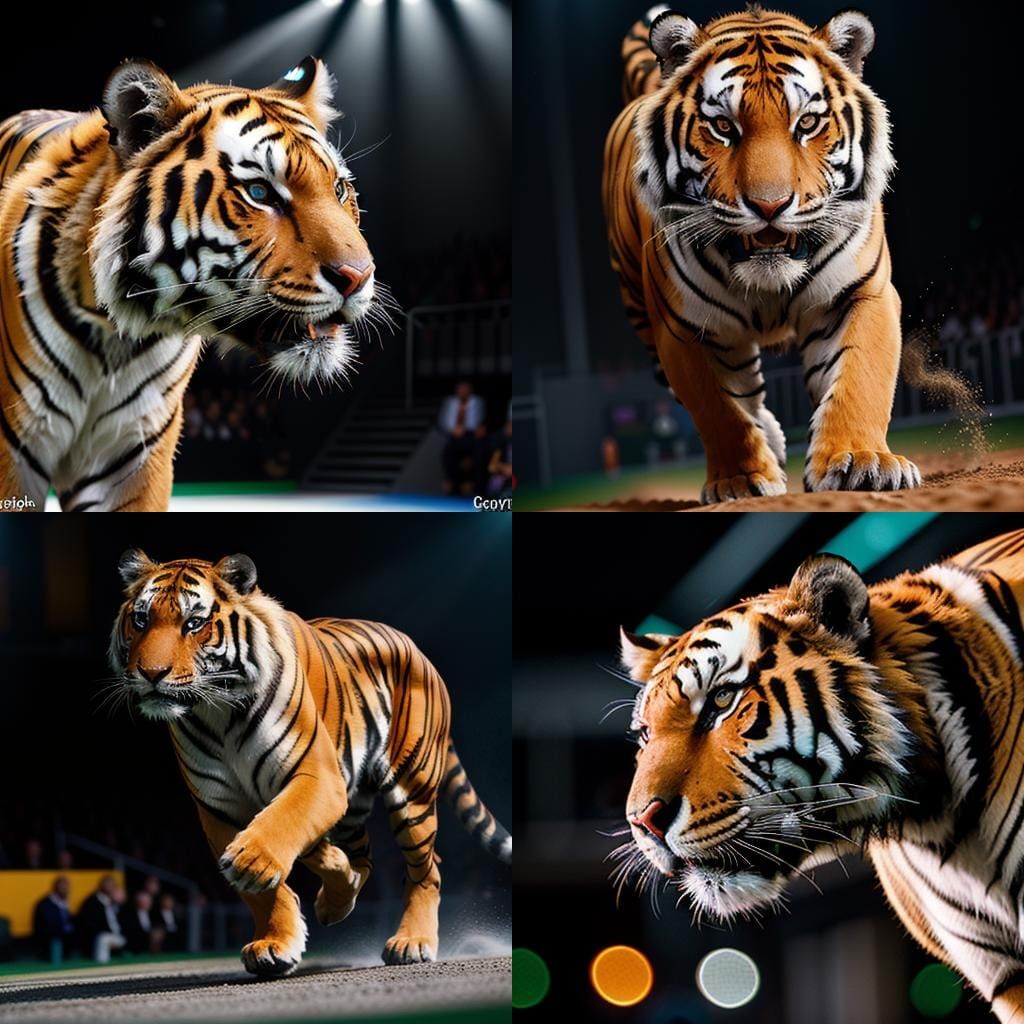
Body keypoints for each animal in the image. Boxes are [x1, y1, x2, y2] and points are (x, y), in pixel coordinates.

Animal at [108, 549, 511, 976]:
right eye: (141, 620)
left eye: (194, 623)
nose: (151, 674)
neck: (217, 712)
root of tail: (417, 649)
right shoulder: (220, 808)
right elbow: (264, 890)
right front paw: (274, 943)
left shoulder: (317, 777)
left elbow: (281, 822)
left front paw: (252, 861)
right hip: (353, 807)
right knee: (361, 856)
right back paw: (336, 896)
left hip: (411, 789)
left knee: (427, 867)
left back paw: (412, 941)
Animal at [603, 6, 921, 504]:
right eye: (723, 127)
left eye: (806, 124)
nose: (770, 206)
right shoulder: (684, 329)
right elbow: (719, 412)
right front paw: (740, 479)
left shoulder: (859, 294)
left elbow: (860, 378)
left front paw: (859, 462)